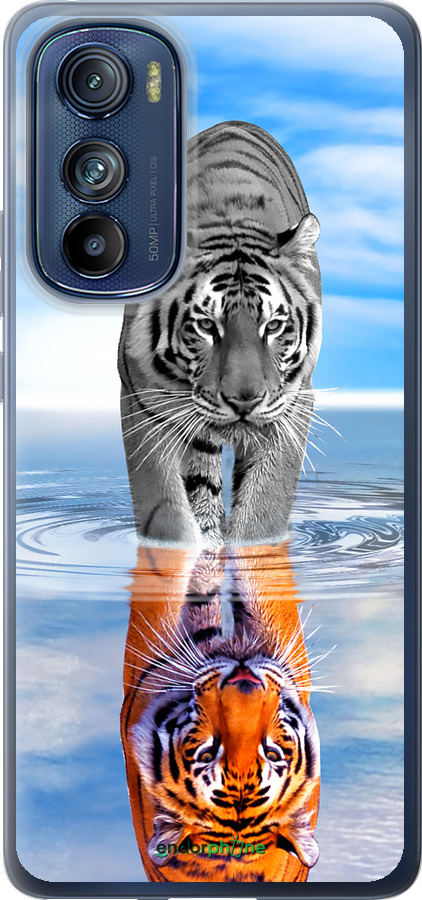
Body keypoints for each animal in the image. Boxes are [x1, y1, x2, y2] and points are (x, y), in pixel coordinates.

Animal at [118, 121, 322, 548]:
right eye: (207, 325)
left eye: (273, 326)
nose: (245, 401)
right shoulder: (142, 403)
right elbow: (166, 511)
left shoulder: (293, 405)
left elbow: (263, 509)